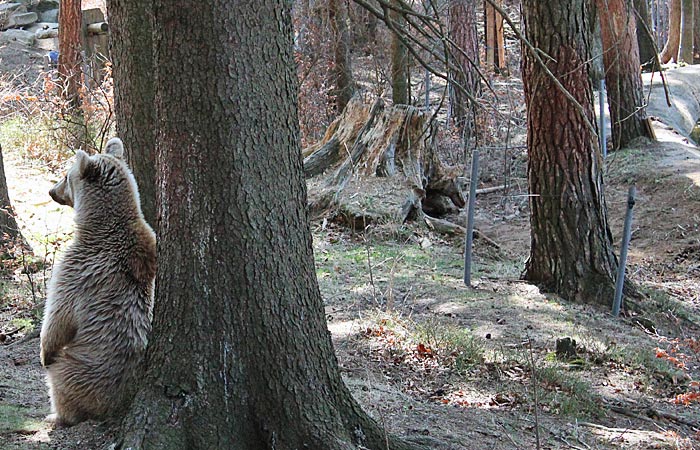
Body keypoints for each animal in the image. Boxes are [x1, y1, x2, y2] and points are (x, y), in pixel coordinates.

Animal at [40, 137, 156, 426]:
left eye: (65, 175)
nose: (51, 191)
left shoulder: (77, 269)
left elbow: (57, 316)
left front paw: (44, 352)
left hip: (80, 369)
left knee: (60, 380)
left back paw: (56, 414)